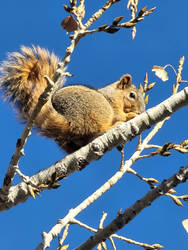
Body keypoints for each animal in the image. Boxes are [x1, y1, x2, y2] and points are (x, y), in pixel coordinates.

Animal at [0, 46, 145, 153]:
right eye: (132, 95)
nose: (141, 112)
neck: (117, 95)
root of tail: (71, 121)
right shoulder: (112, 103)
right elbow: (118, 114)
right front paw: (130, 115)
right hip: (99, 108)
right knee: (97, 131)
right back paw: (112, 126)